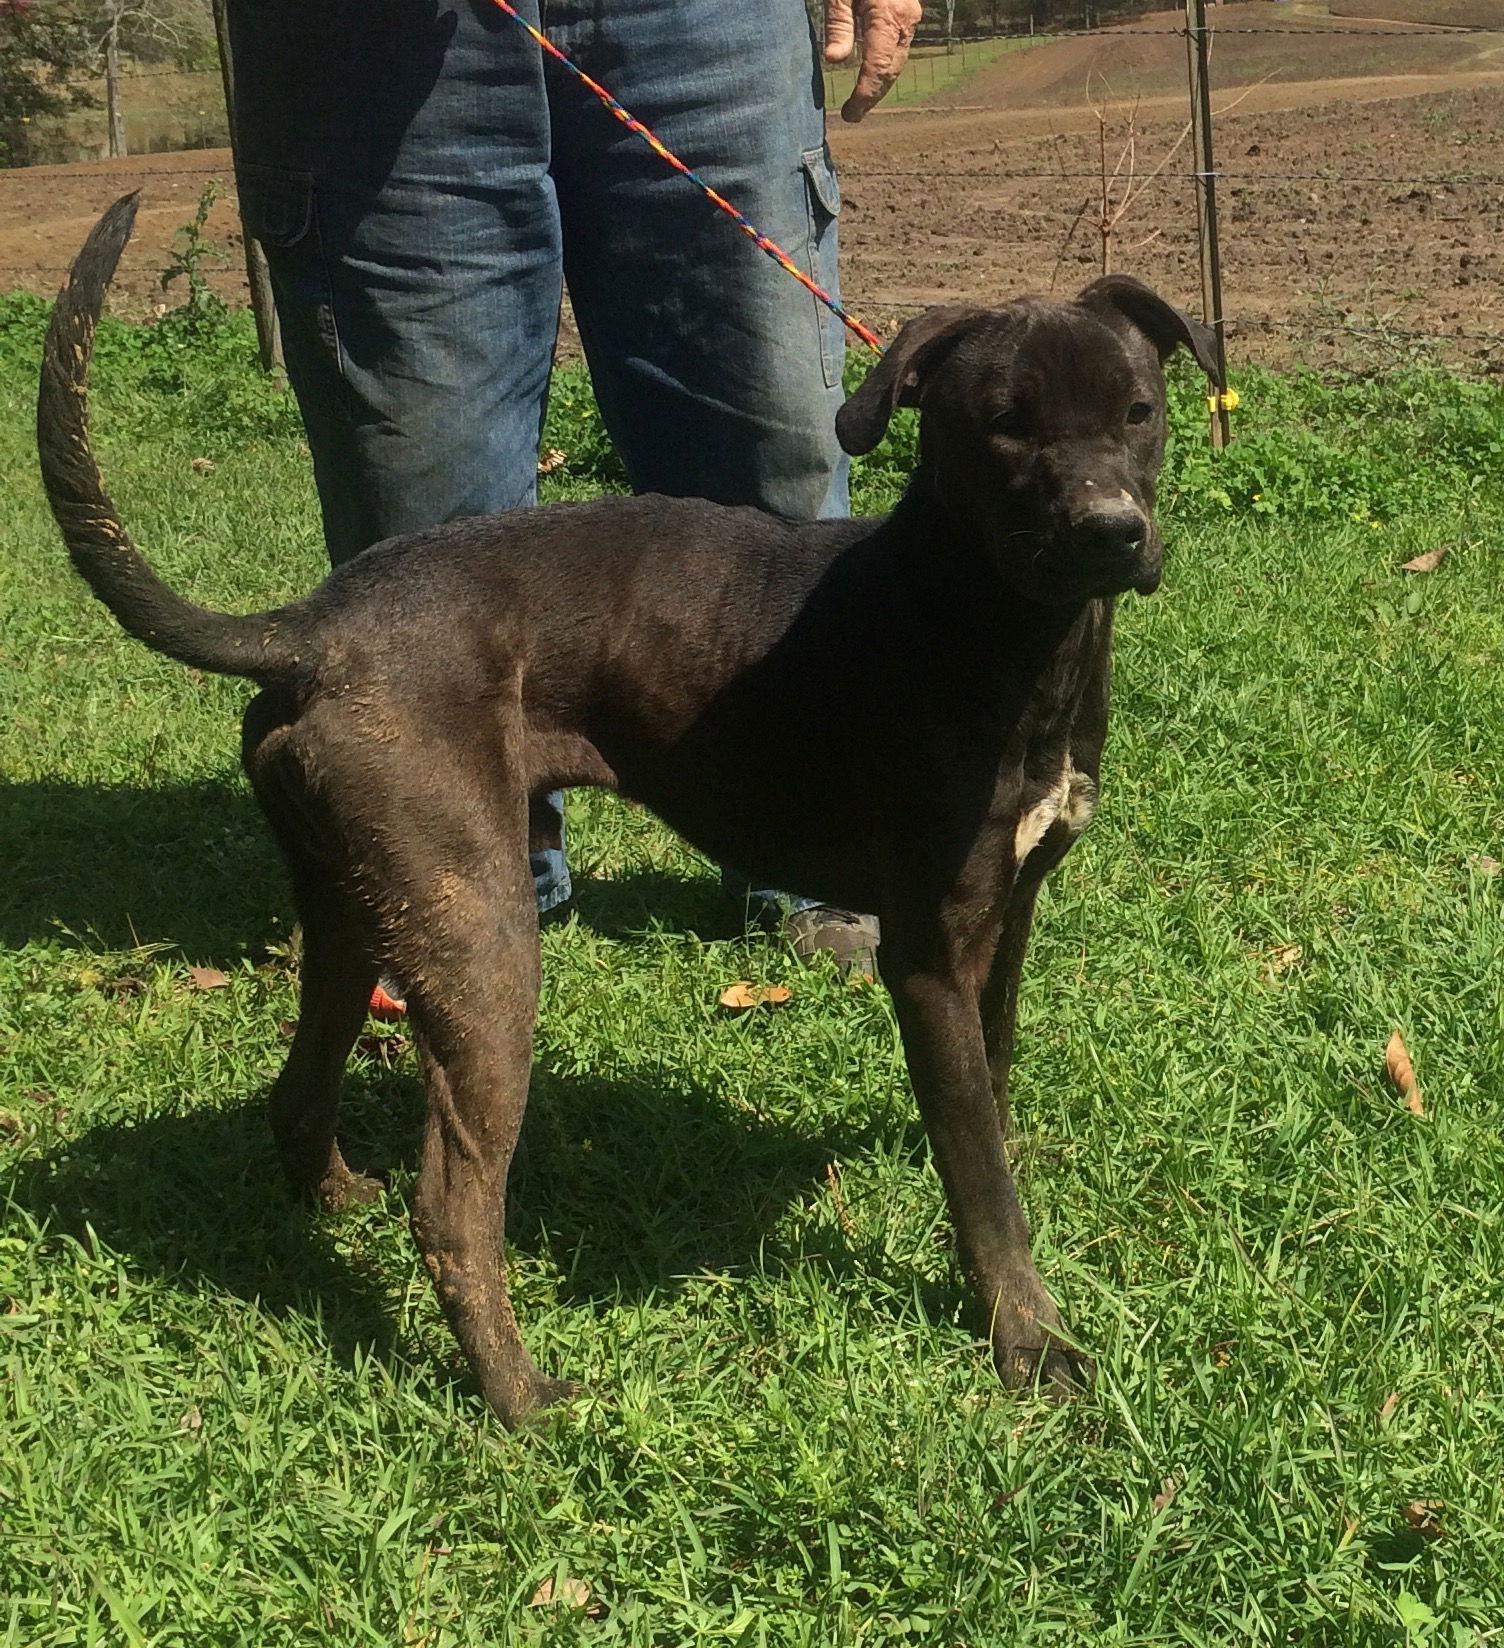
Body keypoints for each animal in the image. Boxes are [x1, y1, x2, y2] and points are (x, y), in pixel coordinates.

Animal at [41, 196, 1219, 1430]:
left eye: (1139, 412)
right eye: (1003, 425)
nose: (1111, 530)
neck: (992, 622)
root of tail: (313, 627)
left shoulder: (1007, 919)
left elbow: (983, 1094)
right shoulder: (928, 955)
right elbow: (985, 1185)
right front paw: (1029, 1342)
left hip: (357, 905)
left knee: (298, 1085)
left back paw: (331, 1205)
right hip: (484, 942)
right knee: (452, 1207)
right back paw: (518, 1397)